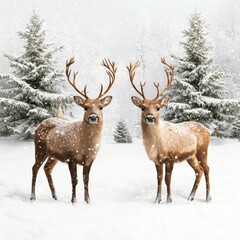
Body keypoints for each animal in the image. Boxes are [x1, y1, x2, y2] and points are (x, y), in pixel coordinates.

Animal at [30, 57, 116, 202]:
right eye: (85, 107)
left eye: (101, 107)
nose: (93, 117)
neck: (87, 145)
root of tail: (40, 125)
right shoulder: (71, 156)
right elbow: (74, 180)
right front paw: (74, 201)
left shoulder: (90, 159)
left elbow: (86, 180)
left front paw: (87, 200)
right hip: (40, 148)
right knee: (35, 167)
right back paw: (32, 196)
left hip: (53, 155)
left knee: (47, 168)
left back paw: (55, 195)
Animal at [126, 57, 211, 202]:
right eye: (142, 107)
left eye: (158, 107)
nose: (150, 117)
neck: (156, 145)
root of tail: (208, 130)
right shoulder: (157, 160)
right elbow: (159, 179)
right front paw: (157, 200)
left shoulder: (171, 157)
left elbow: (167, 179)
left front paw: (169, 200)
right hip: (191, 156)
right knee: (198, 171)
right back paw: (190, 197)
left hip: (202, 150)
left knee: (207, 169)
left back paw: (208, 197)